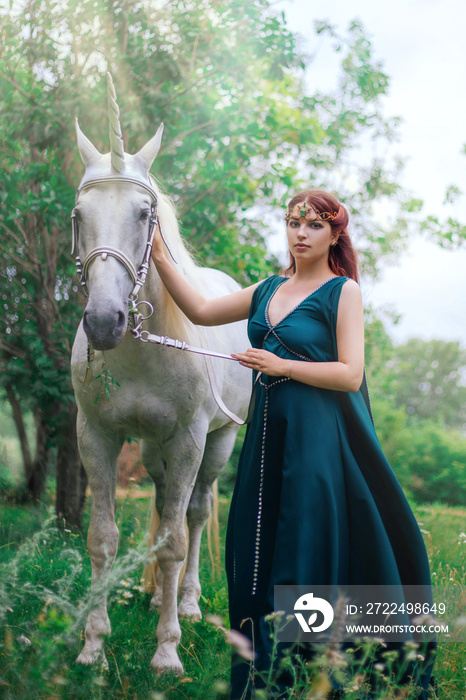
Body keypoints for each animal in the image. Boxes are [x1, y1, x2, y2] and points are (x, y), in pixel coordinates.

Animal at [70, 75, 251, 672]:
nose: (104, 321)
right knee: (162, 498)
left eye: (145, 214)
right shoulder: (96, 436)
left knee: (193, 513)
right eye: (78, 215)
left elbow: (174, 541)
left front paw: (167, 651)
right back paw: (155, 598)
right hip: (152, 450)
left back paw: (187, 604)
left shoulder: (190, 439)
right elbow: (103, 538)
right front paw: (94, 646)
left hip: (216, 445)